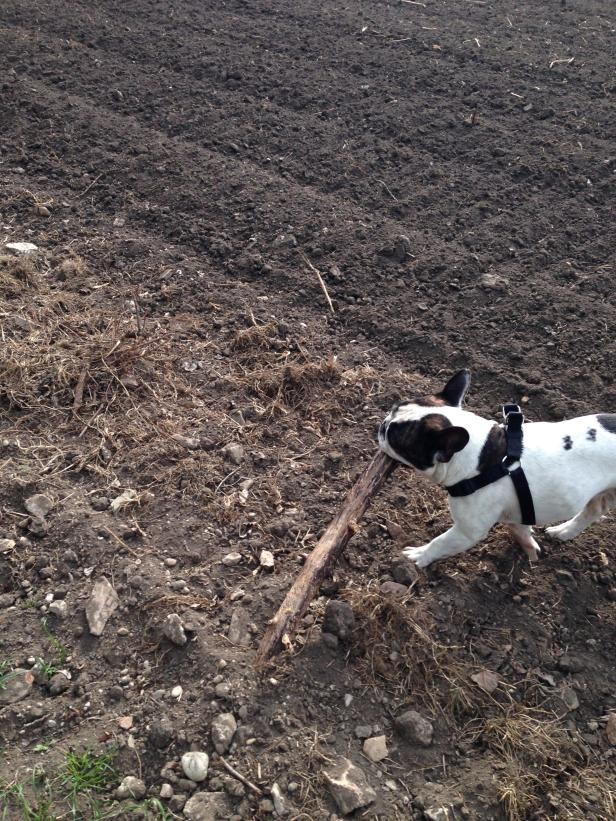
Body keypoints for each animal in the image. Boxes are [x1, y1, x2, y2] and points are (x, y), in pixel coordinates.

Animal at [378, 370, 616, 568]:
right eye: (395, 408)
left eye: (396, 439)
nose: (382, 425)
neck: (482, 455)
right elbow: (521, 528)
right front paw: (528, 545)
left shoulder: (467, 531)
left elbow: (440, 542)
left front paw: (419, 555)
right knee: (594, 509)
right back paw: (564, 531)